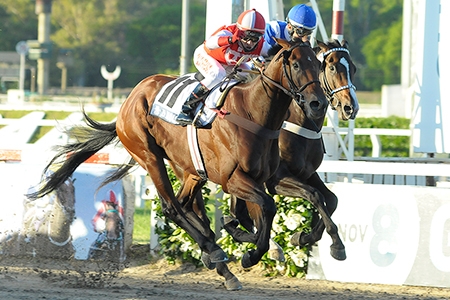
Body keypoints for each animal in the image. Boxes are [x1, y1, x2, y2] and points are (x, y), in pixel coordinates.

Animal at [29, 38, 328, 290]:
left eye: (319, 64)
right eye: (297, 64)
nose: (318, 104)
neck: (254, 114)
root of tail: (127, 102)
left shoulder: (260, 177)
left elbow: (262, 212)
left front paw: (259, 244)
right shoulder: (233, 179)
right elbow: (267, 207)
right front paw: (251, 254)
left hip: (188, 169)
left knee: (186, 206)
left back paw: (217, 259)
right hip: (149, 156)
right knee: (172, 207)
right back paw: (214, 251)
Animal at [225, 39, 358, 260]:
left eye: (353, 69)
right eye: (331, 67)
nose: (351, 107)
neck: (299, 122)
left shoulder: (308, 173)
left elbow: (331, 199)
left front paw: (304, 237)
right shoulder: (276, 179)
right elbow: (315, 195)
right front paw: (337, 244)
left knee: (240, 212)